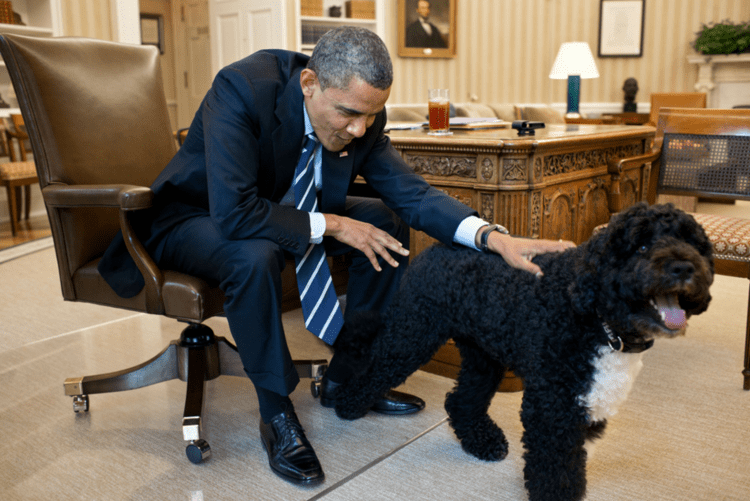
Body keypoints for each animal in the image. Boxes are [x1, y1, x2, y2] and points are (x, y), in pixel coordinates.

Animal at [334, 203, 716, 500]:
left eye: (694, 244)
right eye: (641, 245)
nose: (683, 267)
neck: (598, 318)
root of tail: (436, 248)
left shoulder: (583, 402)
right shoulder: (550, 406)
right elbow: (555, 471)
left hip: (483, 354)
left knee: (461, 400)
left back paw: (482, 441)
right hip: (413, 332)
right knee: (373, 367)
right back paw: (345, 404)